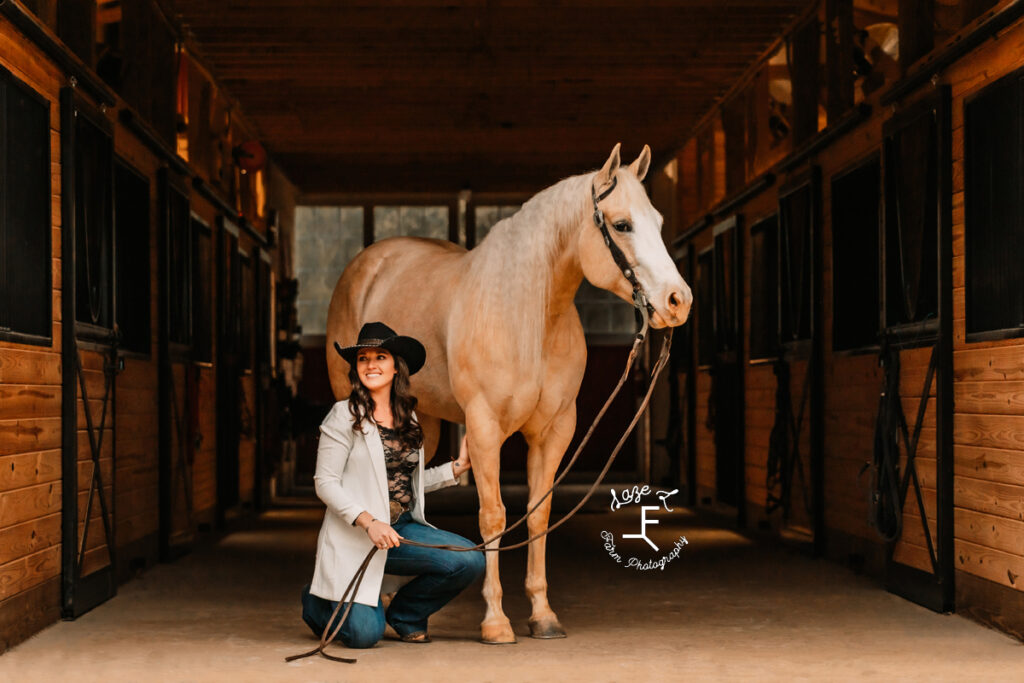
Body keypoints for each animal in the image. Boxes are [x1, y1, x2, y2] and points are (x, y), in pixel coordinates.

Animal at [325, 144, 696, 643]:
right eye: (622, 225)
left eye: (657, 221)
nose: (678, 301)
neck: (528, 316)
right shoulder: (485, 428)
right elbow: (494, 516)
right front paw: (496, 621)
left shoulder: (555, 429)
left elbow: (538, 514)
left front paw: (542, 614)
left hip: (428, 423)